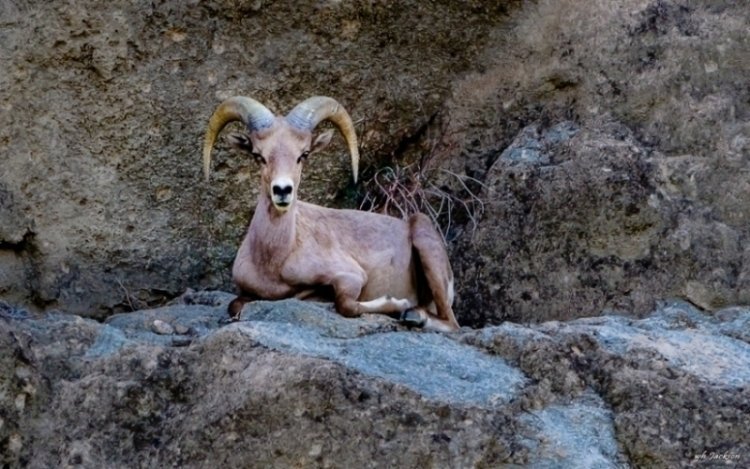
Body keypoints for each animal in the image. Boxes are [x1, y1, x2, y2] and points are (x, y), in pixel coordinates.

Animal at [204, 95, 458, 330]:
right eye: (258, 156)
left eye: (303, 155)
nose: (282, 190)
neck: (275, 261)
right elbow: (234, 305)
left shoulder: (351, 277)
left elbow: (345, 305)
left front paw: (398, 304)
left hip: (426, 245)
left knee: (451, 323)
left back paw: (414, 315)